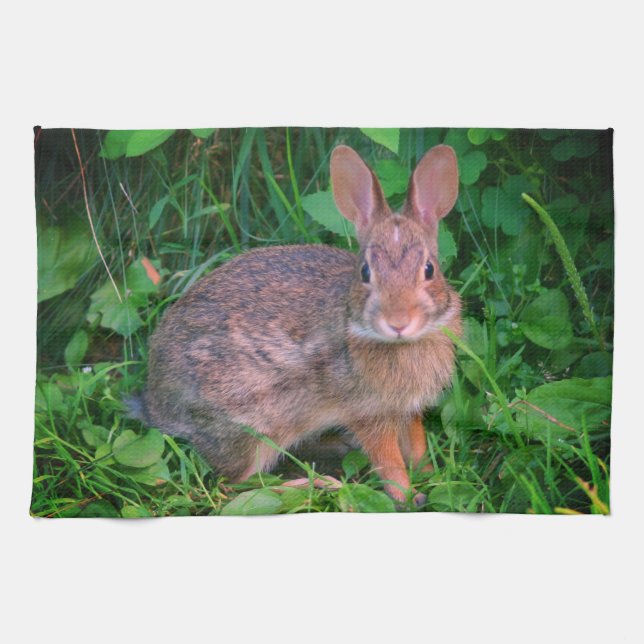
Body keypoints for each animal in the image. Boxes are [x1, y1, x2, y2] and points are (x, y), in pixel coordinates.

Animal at [129, 144, 461, 506]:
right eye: (365, 272)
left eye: (429, 269)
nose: (398, 322)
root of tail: (158, 405)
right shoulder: (367, 413)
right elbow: (388, 461)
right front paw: (407, 496)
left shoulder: (407, 410)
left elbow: (416, 444)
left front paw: (432, 476)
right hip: (252, 428)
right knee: (233, 488)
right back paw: (317, 484)